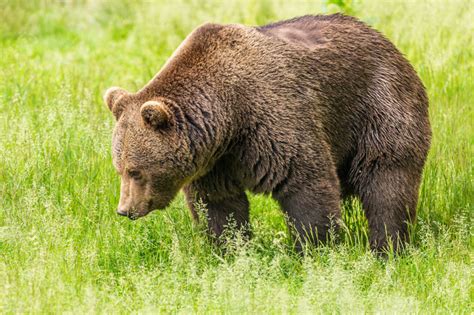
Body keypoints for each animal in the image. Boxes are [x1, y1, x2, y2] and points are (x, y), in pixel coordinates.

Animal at [103, 13, 430, 253]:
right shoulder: (215, 161)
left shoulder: (273, 117)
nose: (124, 210)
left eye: (135, 171)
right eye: (119, 168)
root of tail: (389, 43)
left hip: (378, 108)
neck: (229, 115)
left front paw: (314, 248)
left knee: (387, 181)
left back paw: (386, 247)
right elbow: (220, 206)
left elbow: (306, 183)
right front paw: (230, 250)